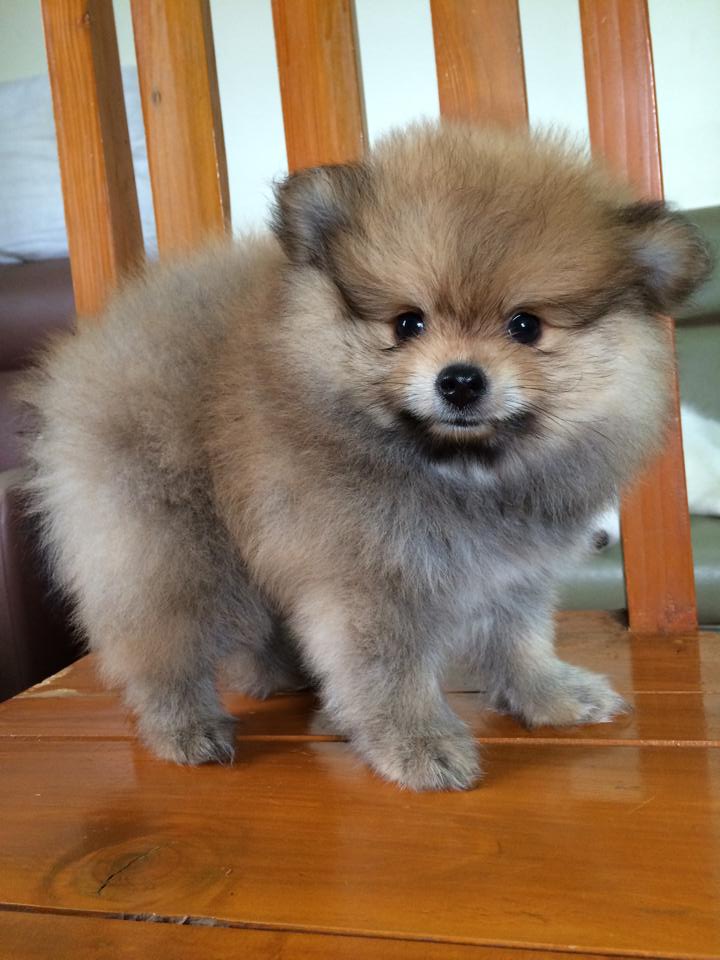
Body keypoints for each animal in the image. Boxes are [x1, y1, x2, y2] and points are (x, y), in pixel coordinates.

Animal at [20, 123, 711, 790]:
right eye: (409, 323)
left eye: (525, 326)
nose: (460, 380)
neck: (459, 473)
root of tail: (105, 338)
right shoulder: (368, 580)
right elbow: (391, 674)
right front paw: (417, 743)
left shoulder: (511, 575)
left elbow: (519, 642)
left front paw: (550, 695)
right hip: (174, 548)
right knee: (160, 644)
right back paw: (184, 728)